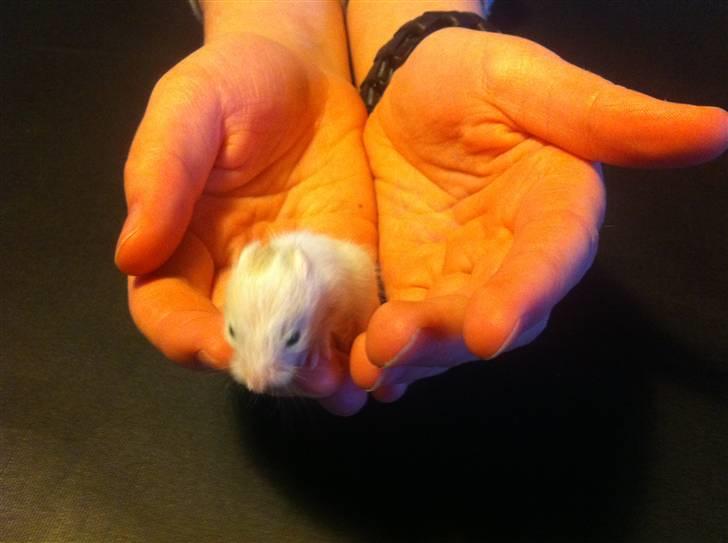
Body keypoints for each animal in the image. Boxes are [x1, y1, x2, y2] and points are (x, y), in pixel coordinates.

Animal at [223, 230, 379, 394]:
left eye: (294, 339)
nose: (255, 387)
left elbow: (323, 328)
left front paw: (313, 356)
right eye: (231, 331)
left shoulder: (336, 300)